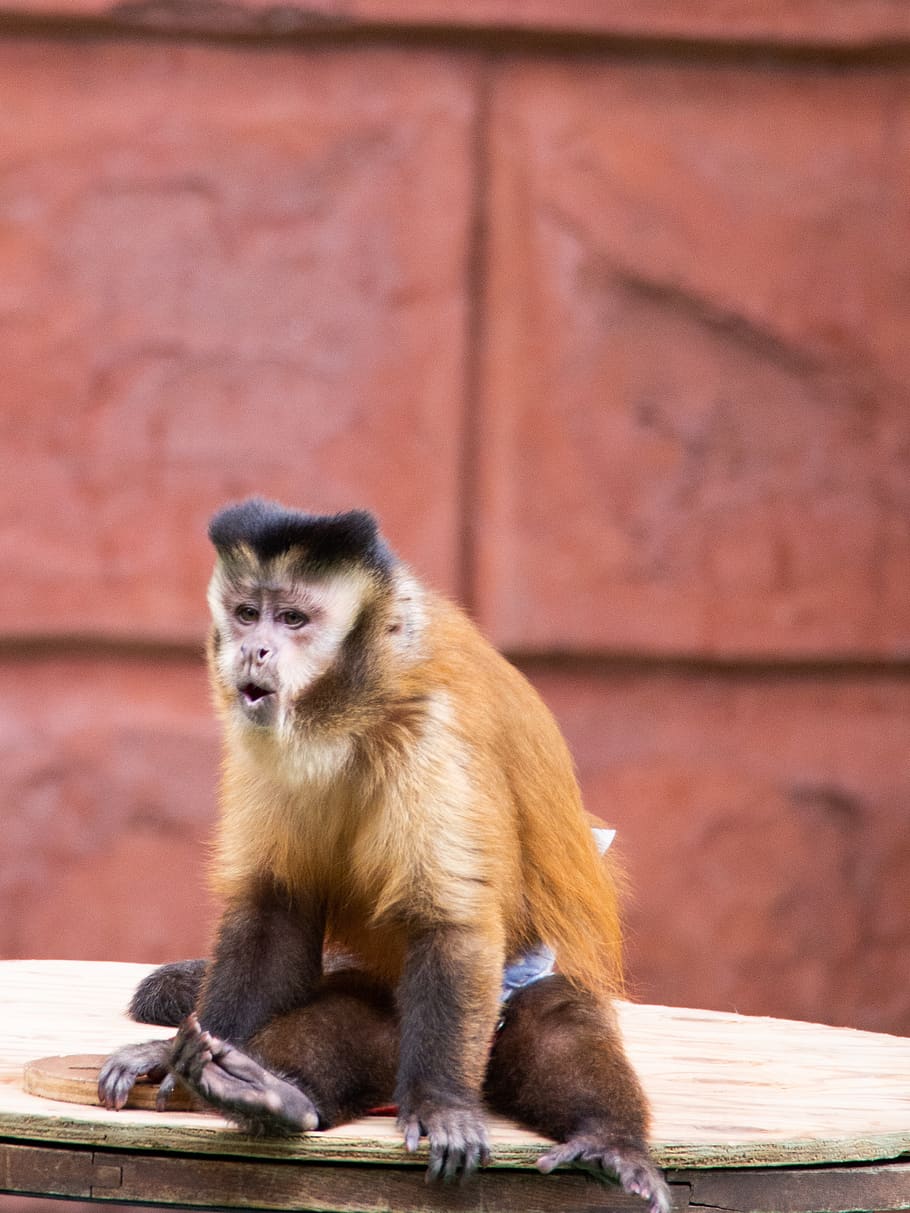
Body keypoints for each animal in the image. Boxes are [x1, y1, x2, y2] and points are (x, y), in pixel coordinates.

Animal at [98, 498, 670, 1213]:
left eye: (292, 620)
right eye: (247, 613)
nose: (255, 648)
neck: (355, 717)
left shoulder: (434, 732)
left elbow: (451, 920)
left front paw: (443, 1106)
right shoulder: (261, 743)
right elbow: (274, 911)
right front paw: (182, 1056)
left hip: (522, 977)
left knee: (556, 1022)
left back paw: (608, 1139)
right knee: (353, 1017)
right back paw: (269, 1093)